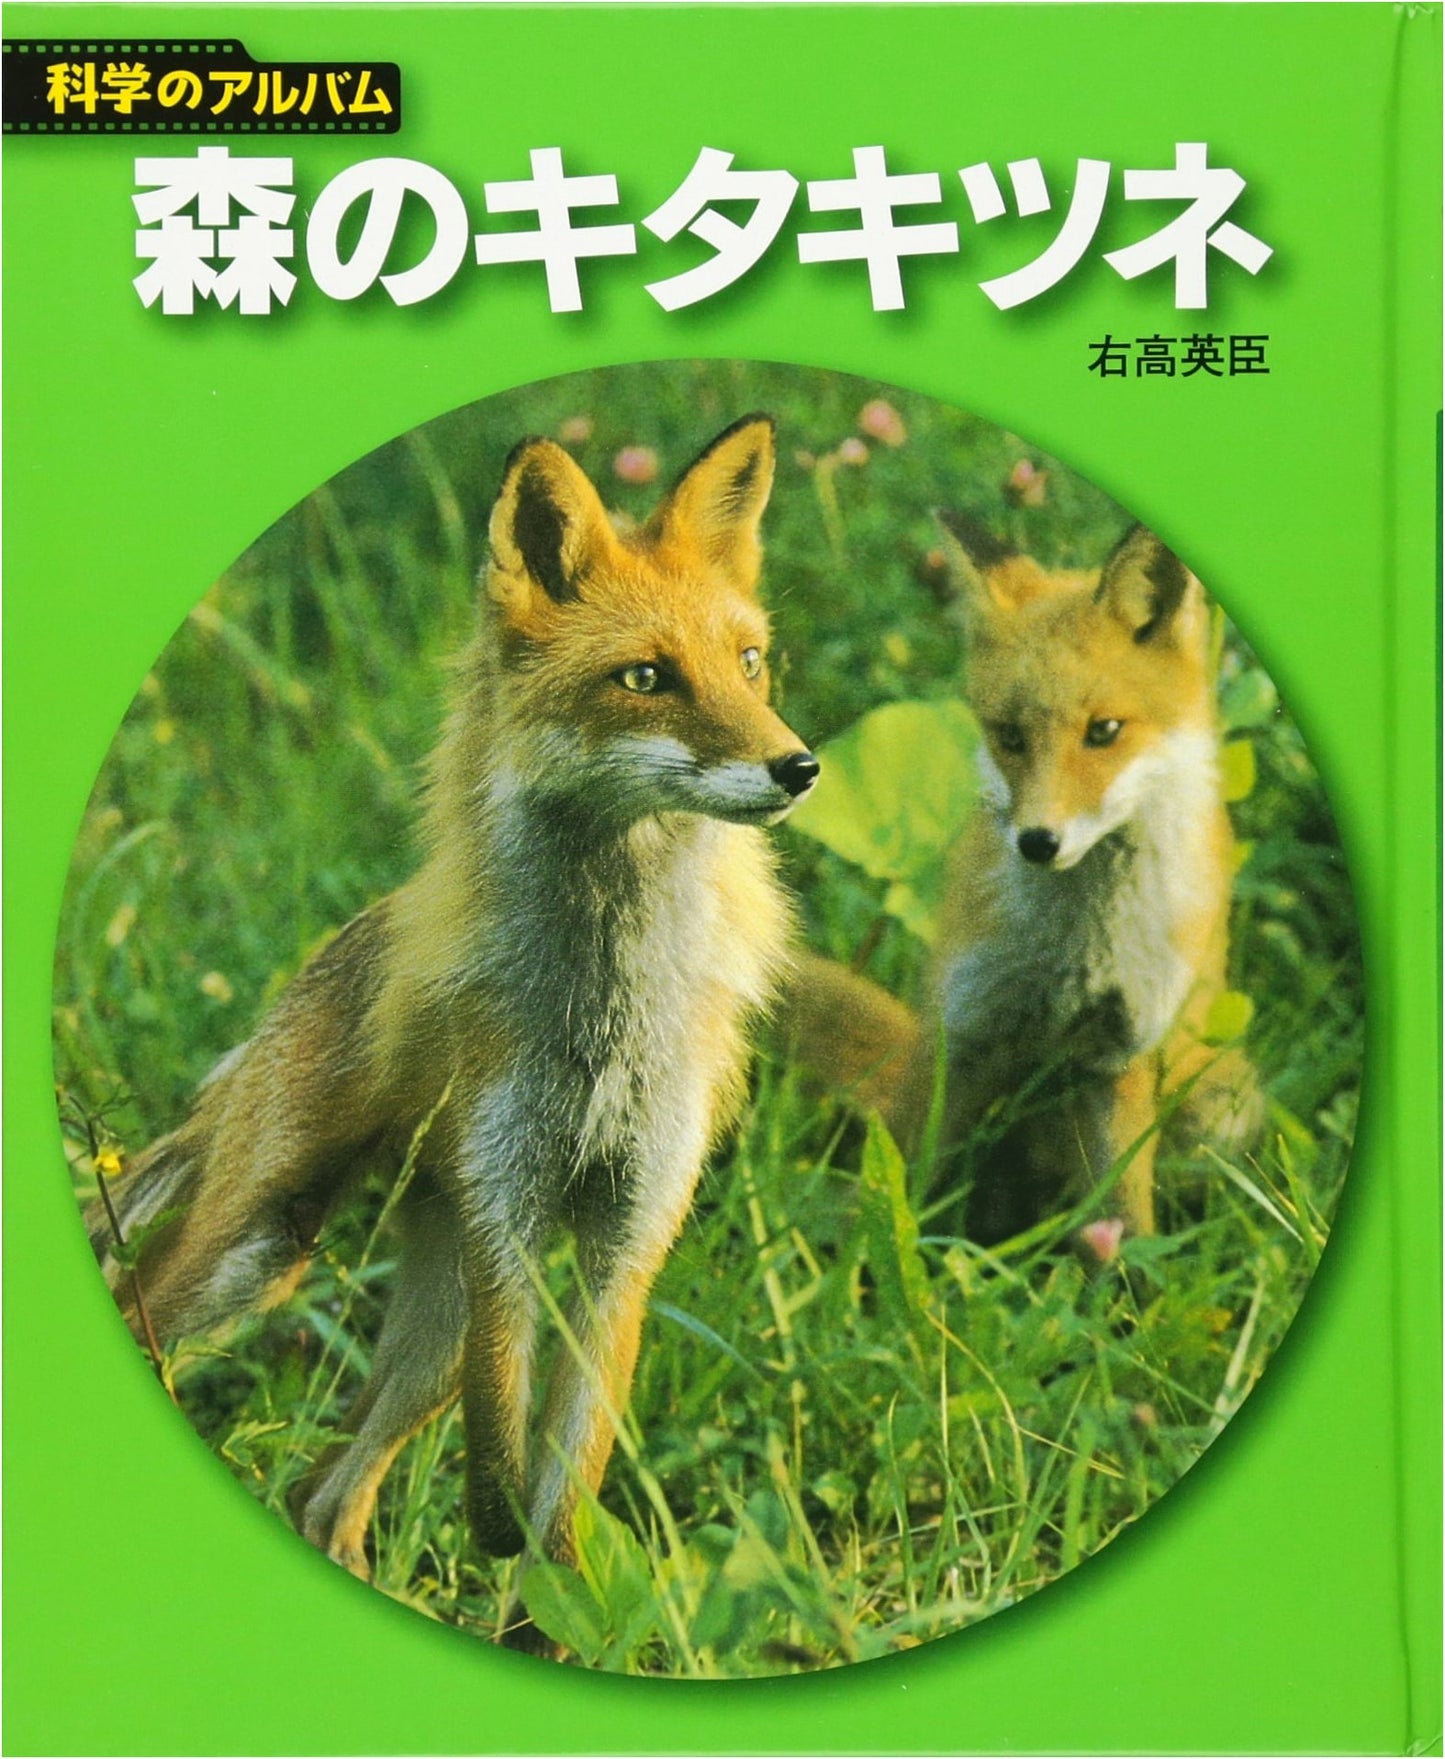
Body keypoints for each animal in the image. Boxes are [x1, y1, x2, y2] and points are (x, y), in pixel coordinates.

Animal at [85, 414, 818, 1622]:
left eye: (749, 663)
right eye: (645, 677)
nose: (797, 765)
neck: (605, 1015)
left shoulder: (624, 1240)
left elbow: (561, 1517)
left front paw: (536, 1615)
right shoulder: (505, 1212)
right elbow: (504, 1473)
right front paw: (495, 1534)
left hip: (420, 1325)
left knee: (323, 1492)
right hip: (261, 1247)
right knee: (151, 1320)